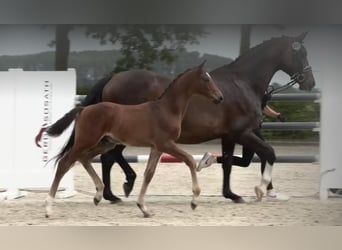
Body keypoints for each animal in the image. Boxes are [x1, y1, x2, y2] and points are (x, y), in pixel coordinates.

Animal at [38, 63, 224, 219]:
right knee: (64, 163)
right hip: (86, 141)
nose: (220, 97)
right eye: (206, 79)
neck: (166, 109)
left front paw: (144, 208)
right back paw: (48, 208)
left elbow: (149, 173)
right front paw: (194, 201)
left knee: (83, 159)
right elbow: (190, 160)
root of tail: (83, 109)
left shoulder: (156, 147)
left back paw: (98, 195)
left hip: (105, 143)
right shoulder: (166, 144)